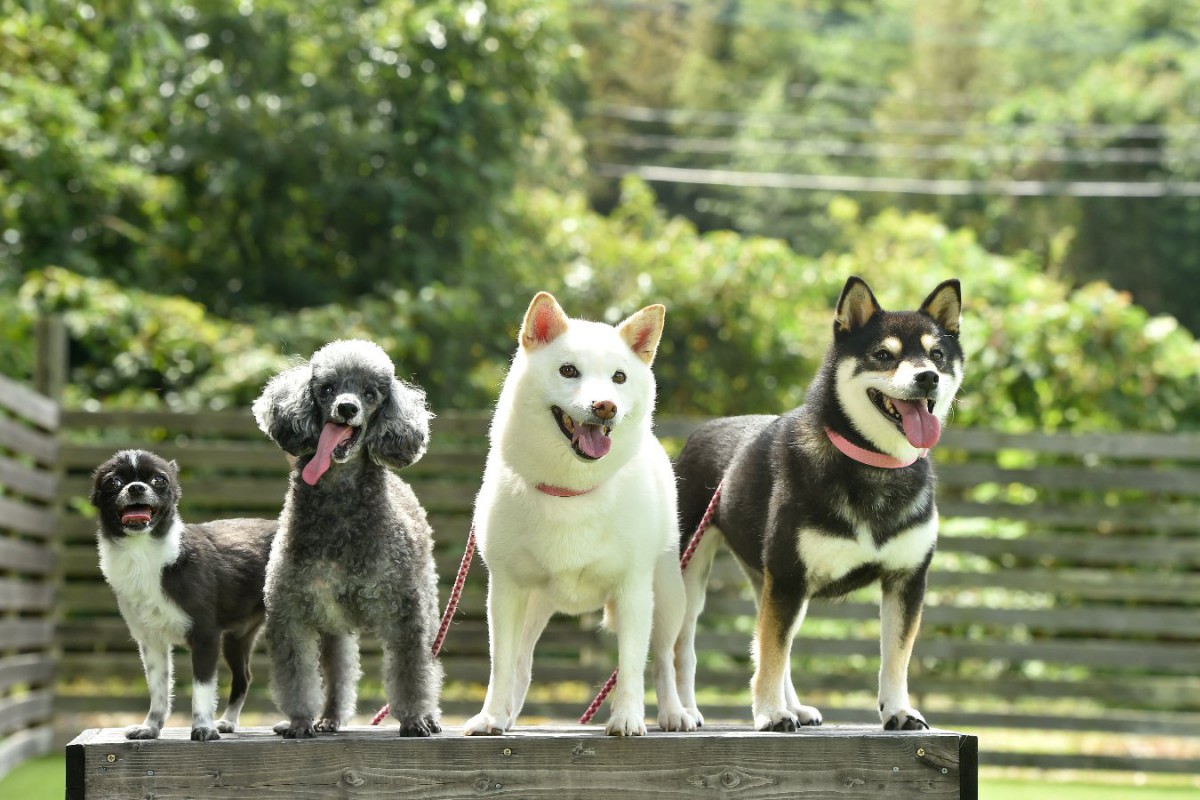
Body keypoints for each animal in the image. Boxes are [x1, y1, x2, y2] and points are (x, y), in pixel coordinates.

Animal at [91, 450, 276, 743]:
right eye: (113, 482)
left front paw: (203, 728)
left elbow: (201, 688)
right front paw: (150, 727)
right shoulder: (151, 642)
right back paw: (228, 721)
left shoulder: (205, 636)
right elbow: (158, 690)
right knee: (244, 677)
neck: (144, 553)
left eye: (159, 480)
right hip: (236, 638)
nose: (136, 487)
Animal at [676, 278, 964, 734]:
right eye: (883, 355)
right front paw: (769, 713)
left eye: (937, 354)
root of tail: (698, 432)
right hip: (691, 573)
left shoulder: (905, 579)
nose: (927, 377)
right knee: (680, 650)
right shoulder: (789, 576)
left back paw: (795, 707)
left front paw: (899, 710)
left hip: (769, 579)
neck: (873, 464)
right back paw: (680, 712)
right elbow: (770, 655)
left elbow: (895, 658)